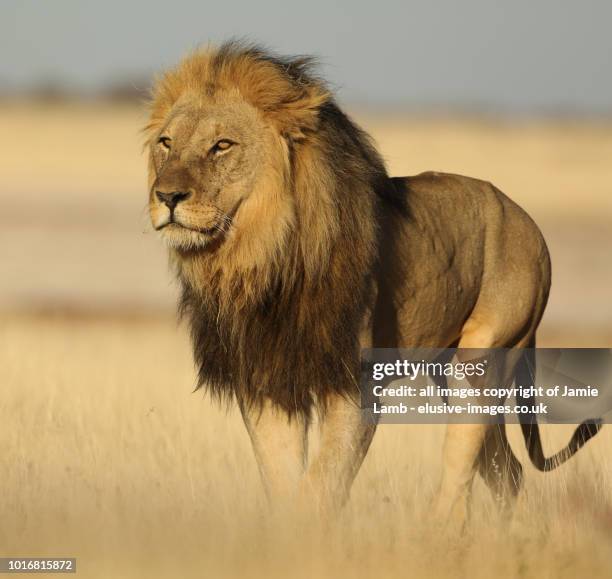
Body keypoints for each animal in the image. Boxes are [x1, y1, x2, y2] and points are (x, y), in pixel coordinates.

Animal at [146, 39, 600, 520]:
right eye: (166, 143)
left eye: (222, 145)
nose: (167, 196)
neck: (261, 259)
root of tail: (525, 217)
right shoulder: (268, 381)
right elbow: (284, 484)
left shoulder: (354, 383)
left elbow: (320, 486)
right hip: (451, 369)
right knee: (507, 472)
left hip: (484, 358)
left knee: (461, 466)